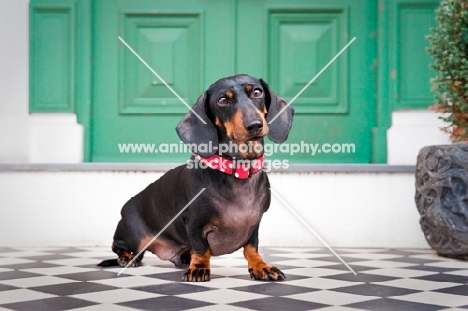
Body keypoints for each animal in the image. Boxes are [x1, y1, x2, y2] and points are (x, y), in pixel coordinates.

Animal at [99, 74, 292, 282]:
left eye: (257, 92)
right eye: (222, 100)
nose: (255, 125)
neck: (237, 169)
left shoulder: (255, 223)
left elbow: (251, 247)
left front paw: (260, 266)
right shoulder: (194, 222)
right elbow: (201, 248)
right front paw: (199, 268)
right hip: (134, 235)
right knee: (118, 247)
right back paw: (127, 258)